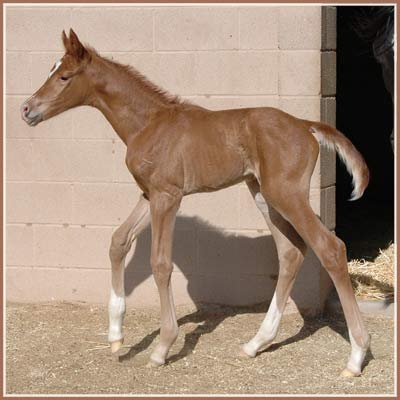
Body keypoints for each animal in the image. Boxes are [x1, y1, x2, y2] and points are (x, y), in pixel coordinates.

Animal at [21, 29, 370, 376]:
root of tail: (305, 125)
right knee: (290, 252)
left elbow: (160, 263)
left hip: (286, 194)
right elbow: (119, 241)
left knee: (329, 248)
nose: (26, 109)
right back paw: (256, 343)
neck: (149, 123)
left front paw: (162, 347)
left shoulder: (168, 196)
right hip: (262, 194)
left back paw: (356, 357)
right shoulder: (149, 194)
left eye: (64, 76)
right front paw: (116, 336)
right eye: (52, 70)